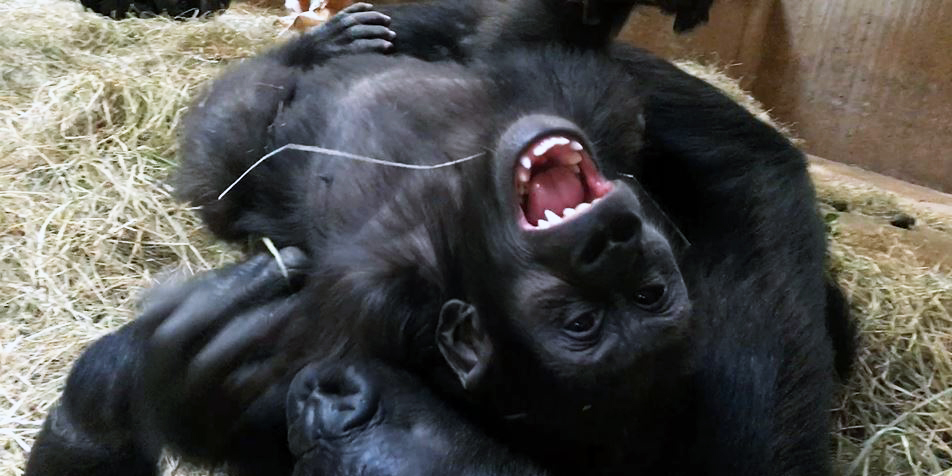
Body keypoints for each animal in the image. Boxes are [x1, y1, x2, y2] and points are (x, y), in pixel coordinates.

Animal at [24, 0, 856, 476]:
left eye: (587, 322)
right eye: (648, 291)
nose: (612, 244)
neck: (463, 215)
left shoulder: (358, 312)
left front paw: (197, 388)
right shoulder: (606, 124)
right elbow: (542, 48)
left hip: (221, 150)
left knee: (234, 142)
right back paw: (324, 45)